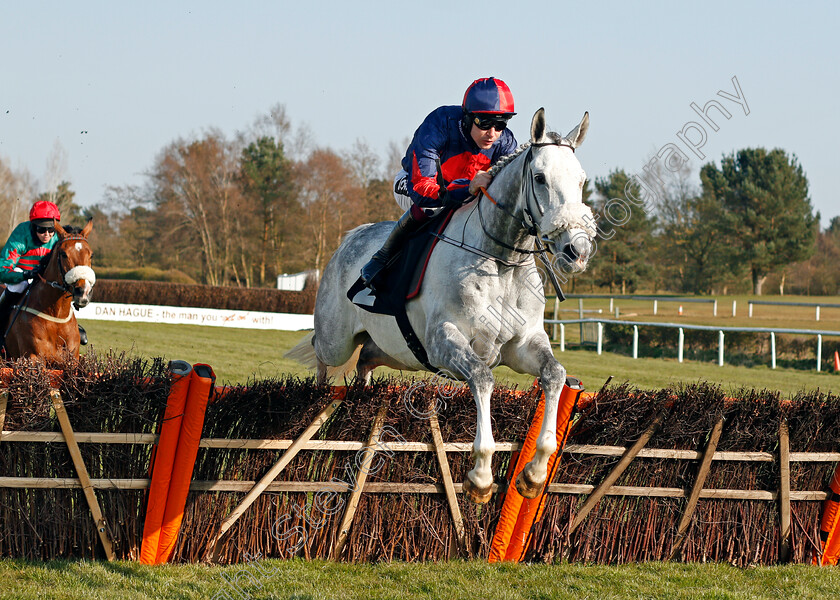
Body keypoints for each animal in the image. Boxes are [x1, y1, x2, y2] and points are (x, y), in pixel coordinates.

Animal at [3, 221, 96, 358]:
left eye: (91, 255)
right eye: (63, 254)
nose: (83, 292)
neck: (56, 316)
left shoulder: (73, 358)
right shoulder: (33, 357)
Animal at [288, 108, 596, 502]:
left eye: (582, 180)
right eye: (540, 178)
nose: (577, 250)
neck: (502, 261)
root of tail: (350, 237)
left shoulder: (523, 343)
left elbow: (554, 374)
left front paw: (535, 471)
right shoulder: (443, 340)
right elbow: (482, 377)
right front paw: (480, 476)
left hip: (391, 350)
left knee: (366, 361)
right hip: (336, 337)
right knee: (322, 352)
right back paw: (318, 395)